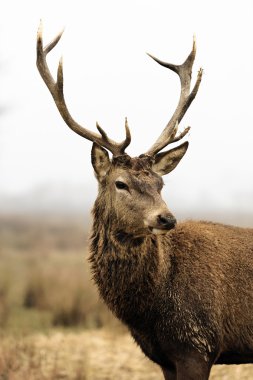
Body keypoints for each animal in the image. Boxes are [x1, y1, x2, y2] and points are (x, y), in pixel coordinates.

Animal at [36, 23, 253, 380]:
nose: (166, 218)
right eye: (120, 183)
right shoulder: (164, 357)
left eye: (159, 183)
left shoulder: (198, 345)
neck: (149, 312)